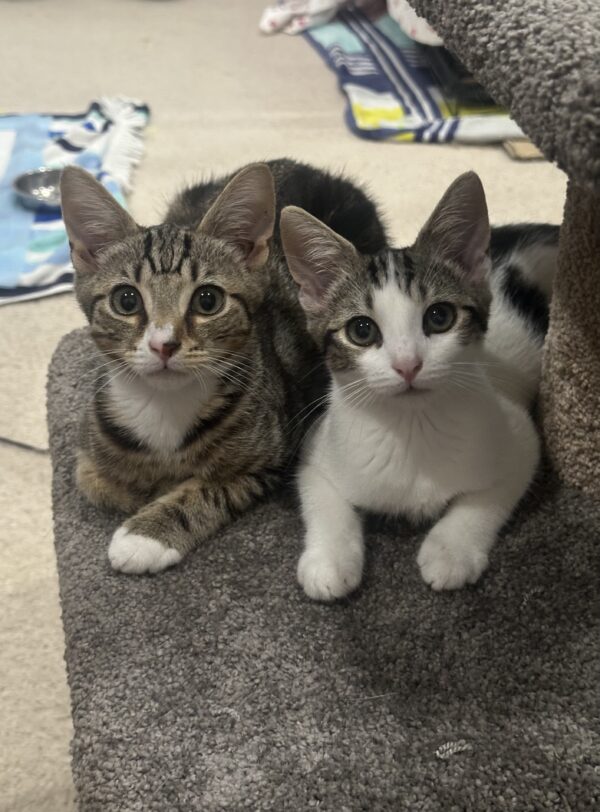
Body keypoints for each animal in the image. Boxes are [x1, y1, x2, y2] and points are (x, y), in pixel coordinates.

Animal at [62, 160, 384, 572]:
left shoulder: (273, 455)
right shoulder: (89, 446)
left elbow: (213, 489)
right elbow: (94, 481)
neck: (165, 406)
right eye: (126, 300)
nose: (163, 344)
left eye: (208, 300)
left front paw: (147, 533)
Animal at [282, 171, 556, 600]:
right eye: (361, 330)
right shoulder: (317, 448)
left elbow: (488, 497)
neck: (412, 428)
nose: (407, 365)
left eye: (439, 317)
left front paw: (450, 551)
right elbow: (324, 498)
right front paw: (329, 561)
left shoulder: (520, 438)